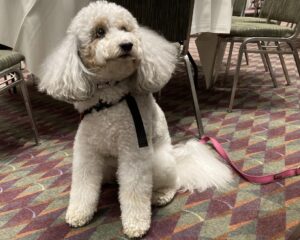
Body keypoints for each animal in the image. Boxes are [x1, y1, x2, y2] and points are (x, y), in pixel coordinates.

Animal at [37, 0, 233, 238]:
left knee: (172, 182)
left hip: (158, 162)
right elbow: (83, 185)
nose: (128, 44)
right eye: (99, 32)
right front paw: (78, 214)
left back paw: (161, 195)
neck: (109, 98)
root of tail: (177, 160)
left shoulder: (133, 151)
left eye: (125, 29)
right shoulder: (86, 150)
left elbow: (134, 189)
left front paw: (136, 224)